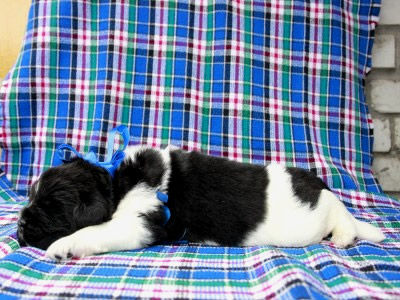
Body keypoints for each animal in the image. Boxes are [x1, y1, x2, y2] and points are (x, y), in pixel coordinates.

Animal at [17, 146, 386, 260]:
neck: (116, 180)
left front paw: (64, 246)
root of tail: (315, 183)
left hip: (310, 219)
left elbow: (93, 231)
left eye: (52, 209)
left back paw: (345, 235)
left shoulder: (135, 223)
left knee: (340, 212)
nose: (19, 226)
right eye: (32, 197)